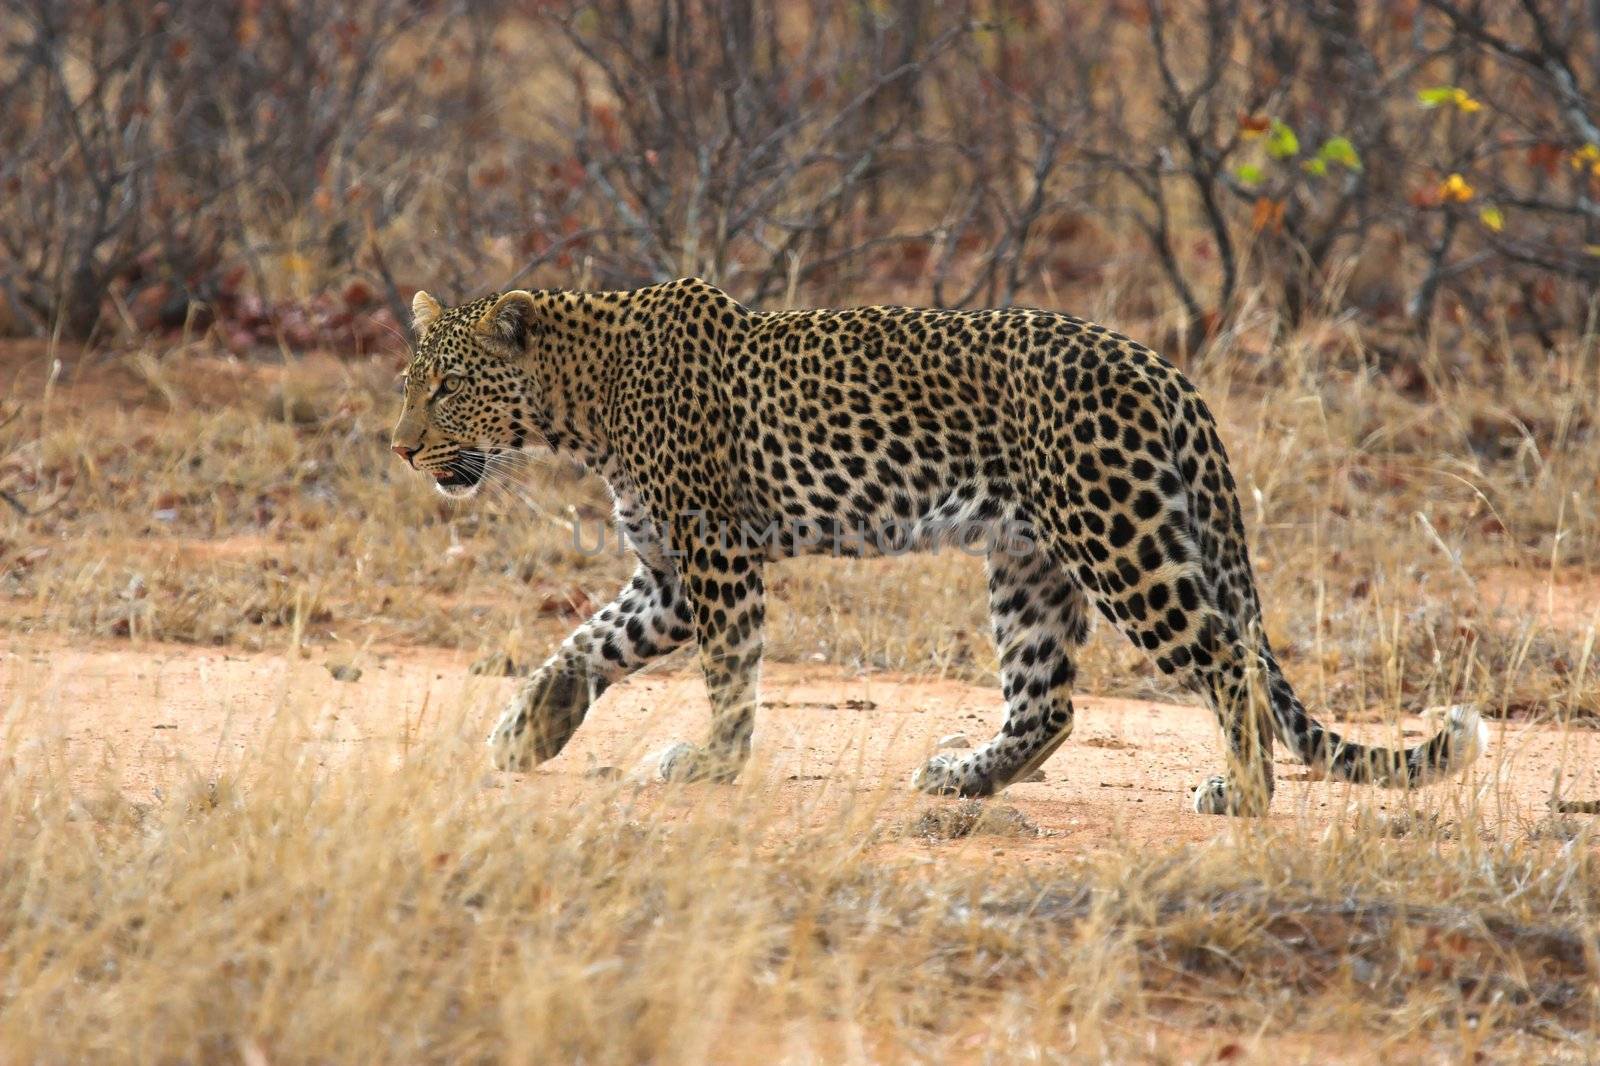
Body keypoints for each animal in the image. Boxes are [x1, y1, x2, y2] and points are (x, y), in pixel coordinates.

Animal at [390, 275, 1484, 813]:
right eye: (413, 383)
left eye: (445, 386)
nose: (400, 448)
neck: (581, 401)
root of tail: (1163, 369)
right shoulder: (664, 572)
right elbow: (585, 643)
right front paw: (531, 729)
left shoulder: (716, 556)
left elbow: (730, 672)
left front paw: (712, 765)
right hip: (1031, 561)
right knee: (1050, 704)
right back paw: (965, 779)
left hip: (1118, 539)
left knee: (1224, 660)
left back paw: (1241, 792)